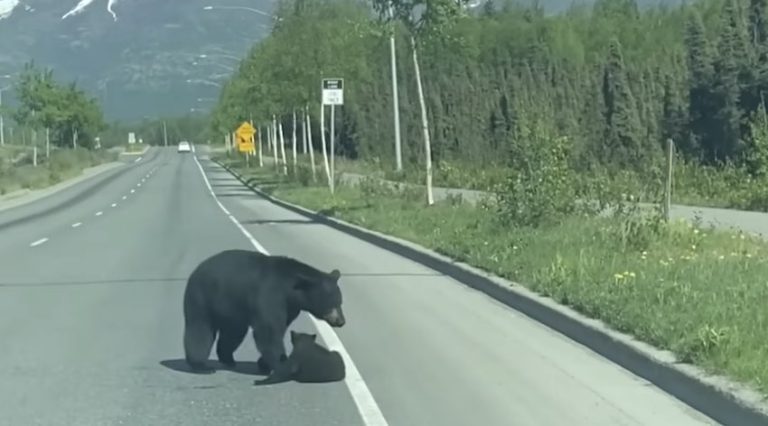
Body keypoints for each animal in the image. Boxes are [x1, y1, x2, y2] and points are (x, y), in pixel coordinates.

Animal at [182, 249, 346, 376]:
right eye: (332, 303)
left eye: (340, 302)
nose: (341, 321)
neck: (291, 290)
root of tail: (197, 268)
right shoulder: (270, 295)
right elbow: (268, 331)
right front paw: (280, 364)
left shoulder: (289, 307)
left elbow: (279, 329)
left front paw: (264, 364)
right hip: (203, 297)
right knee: (200, 328)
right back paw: (201, 366)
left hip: (232, 309)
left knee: (233, 333)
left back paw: (227, 359)